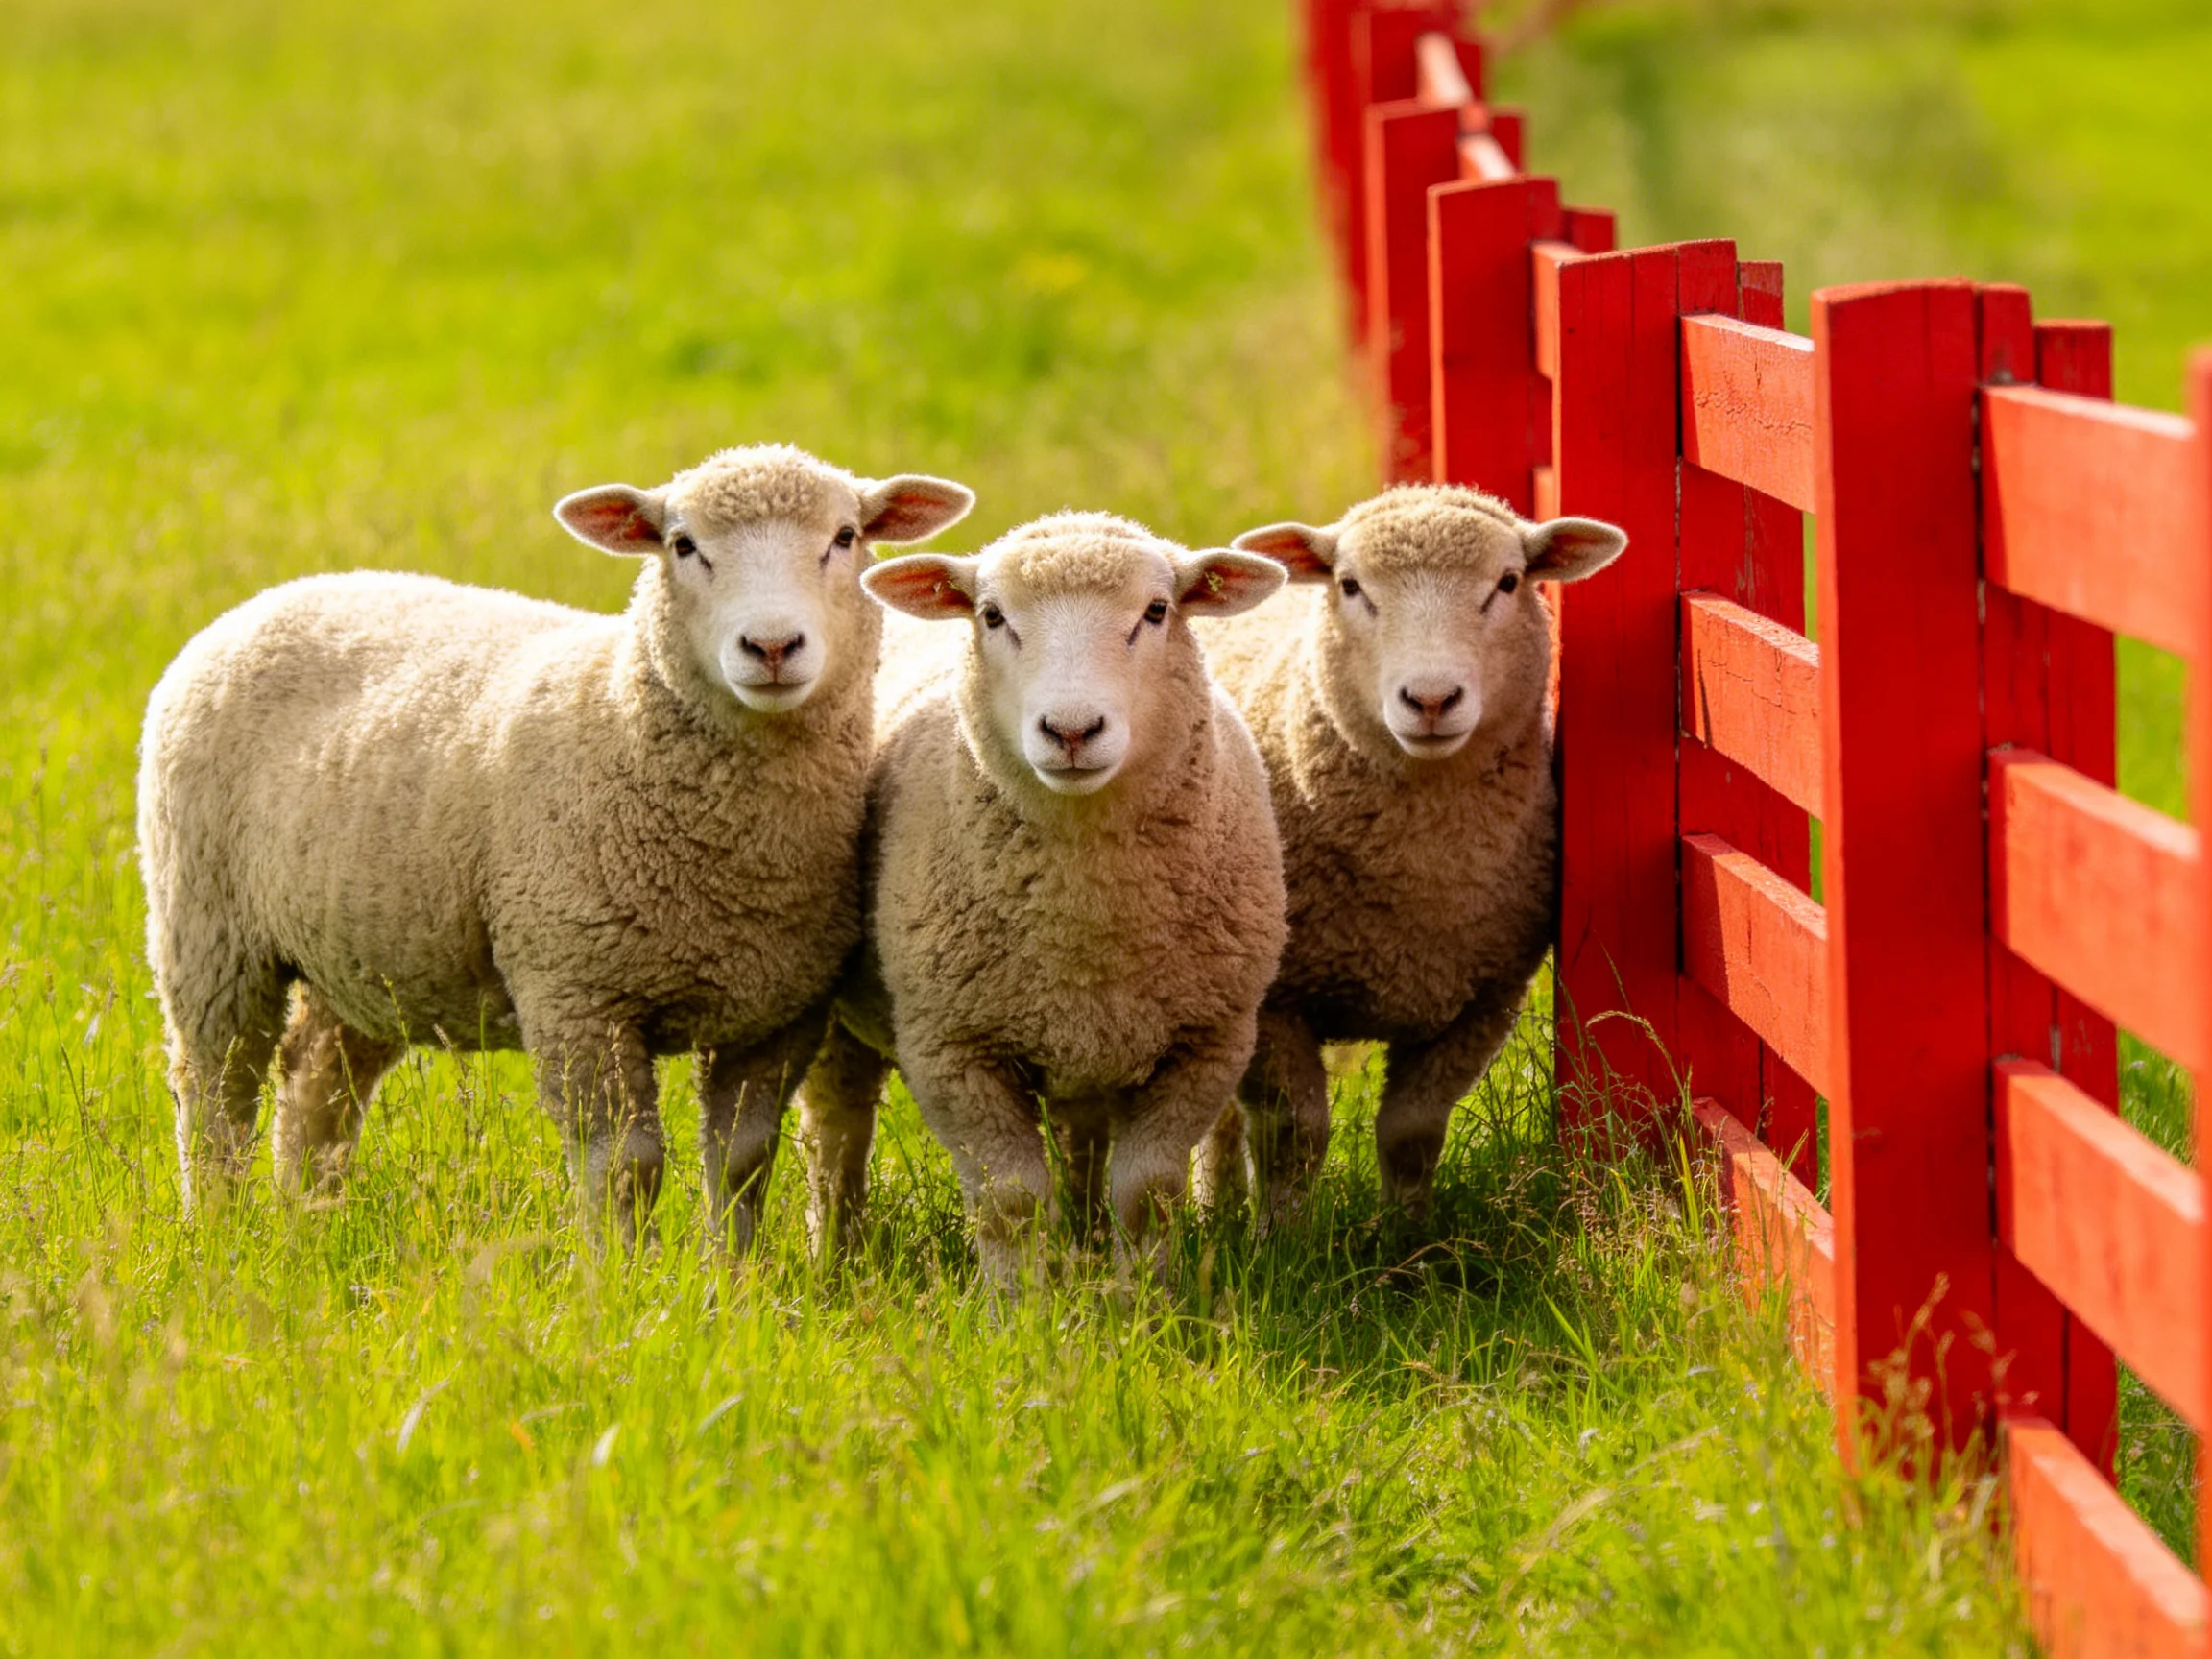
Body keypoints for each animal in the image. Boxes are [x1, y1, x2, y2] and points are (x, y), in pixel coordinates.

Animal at [137, 443, 974, 1248]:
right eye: (682, 545)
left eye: (845, 537)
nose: (771, 645)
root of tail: (282, 593)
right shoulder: (576, 994)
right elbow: (624, 1168)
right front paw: (622, 1279)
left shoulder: (776, 1014)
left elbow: (742, 1162)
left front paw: (736, 1280)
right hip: (209, 930)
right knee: (214, 1093)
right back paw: (218, 1233)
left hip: (365, 951)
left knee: (317, 1076)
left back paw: (309, 1219)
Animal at [793, 512, 1290, 1283]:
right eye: (993, 617)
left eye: (1157, 611)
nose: (1072, 730)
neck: (1082, 910)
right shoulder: (954, 1051)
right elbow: (1010, 1201)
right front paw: (1017, 1305)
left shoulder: (1204, 1043)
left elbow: (1148, 1194)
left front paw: (1145, 1298)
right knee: (836, 1131)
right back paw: (836, 1259)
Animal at [1191, 484, 1627, 1223]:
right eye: (1350, 585)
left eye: (1508, 582)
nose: (1430, 699)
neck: (1418, 868)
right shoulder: (1274, 1001)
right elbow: (1291, 1136)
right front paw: (1281, 1236)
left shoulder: (1480, 1003)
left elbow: (1412, 1135)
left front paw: (1408, 1238)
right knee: (1217, 1117)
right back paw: (1214, 1211)